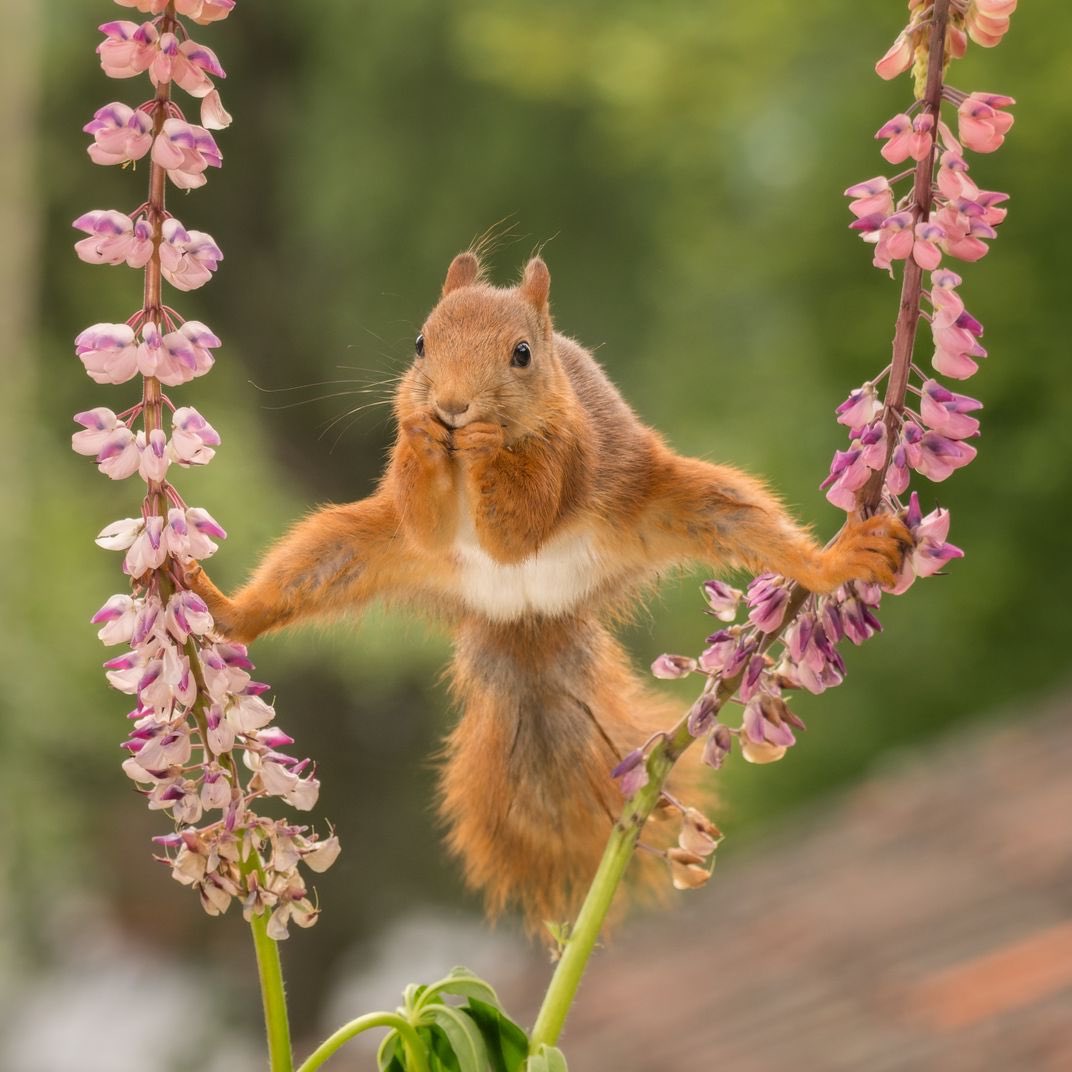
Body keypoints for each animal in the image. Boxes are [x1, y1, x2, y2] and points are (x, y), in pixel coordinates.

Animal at [188, 251, 908, 931]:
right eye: (420, 343)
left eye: (522, 354)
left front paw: (483, 444)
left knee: (747, 522)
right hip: (352, 548)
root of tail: (527, 614)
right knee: (307, 570)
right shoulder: (417, 518)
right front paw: (423, 435)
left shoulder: (570, 453)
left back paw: (835, 560)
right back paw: (224, 610)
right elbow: (424, 517)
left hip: (678, 504)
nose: (452, 407)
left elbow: (521, 523)